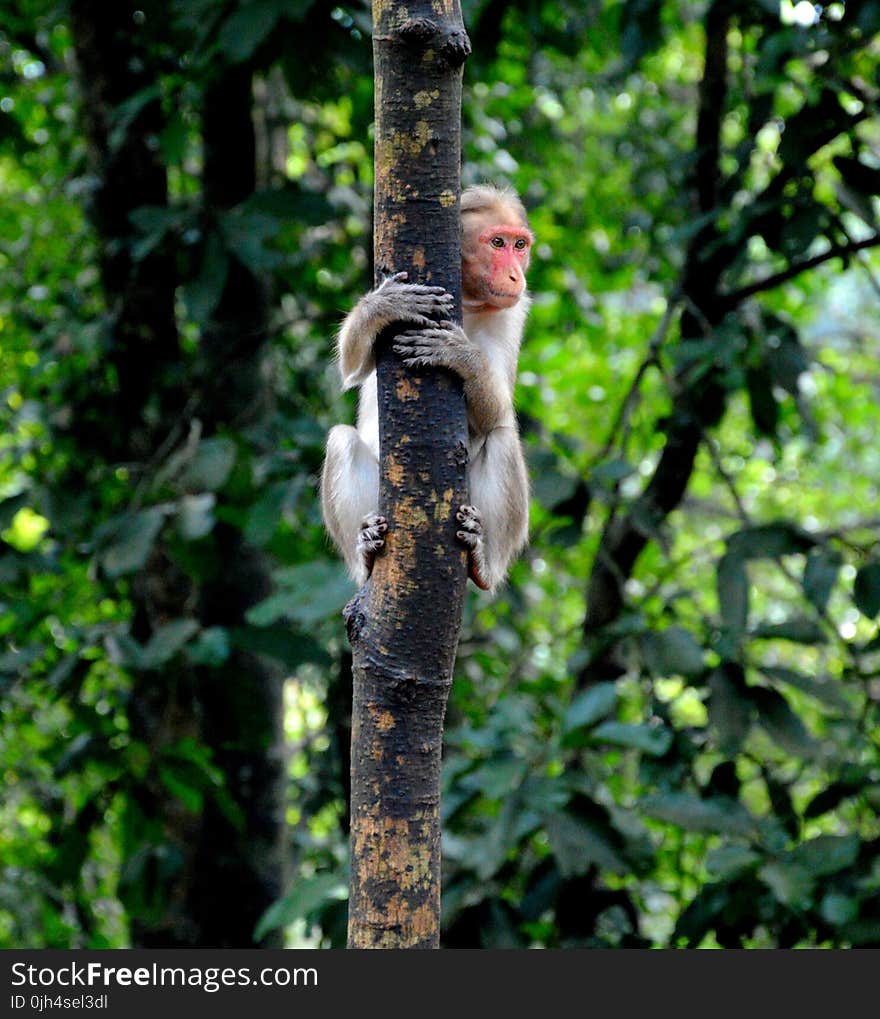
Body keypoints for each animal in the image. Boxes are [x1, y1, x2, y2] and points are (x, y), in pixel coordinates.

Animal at [321, 187, 533, 595]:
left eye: (520, 245)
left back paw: (483, 564)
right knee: (341, 439)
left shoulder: (513, 313)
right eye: (497, 243)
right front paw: (385, 305)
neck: (469, 300)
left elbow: (498, 414)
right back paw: (365, 554)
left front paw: (461, 354)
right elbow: (353, 366)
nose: (517, 275)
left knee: (502, 437)